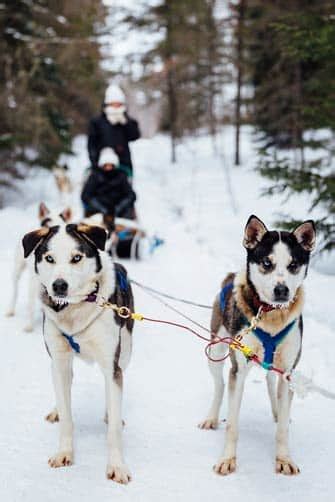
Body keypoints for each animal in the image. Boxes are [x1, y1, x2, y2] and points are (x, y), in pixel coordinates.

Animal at [5, 202, 72, 332]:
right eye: (46, 224)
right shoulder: (34, 282)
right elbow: (31, 305)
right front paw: (29, 325)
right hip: (18, 269)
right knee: (15, 291)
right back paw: (11, 309)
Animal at [200, 214, 318, 476]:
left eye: (294, 264)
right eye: (266, 262)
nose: (282, 290)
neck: (272, 316)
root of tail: (229, 277)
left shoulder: (288, 371)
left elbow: (283, 428)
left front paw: (284, 459)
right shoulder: (239, 369)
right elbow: (232, 424)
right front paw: (227, 459)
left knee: (270, 381)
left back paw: (276, 410)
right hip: (216, 350)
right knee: (220, 385)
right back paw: (211, 417)